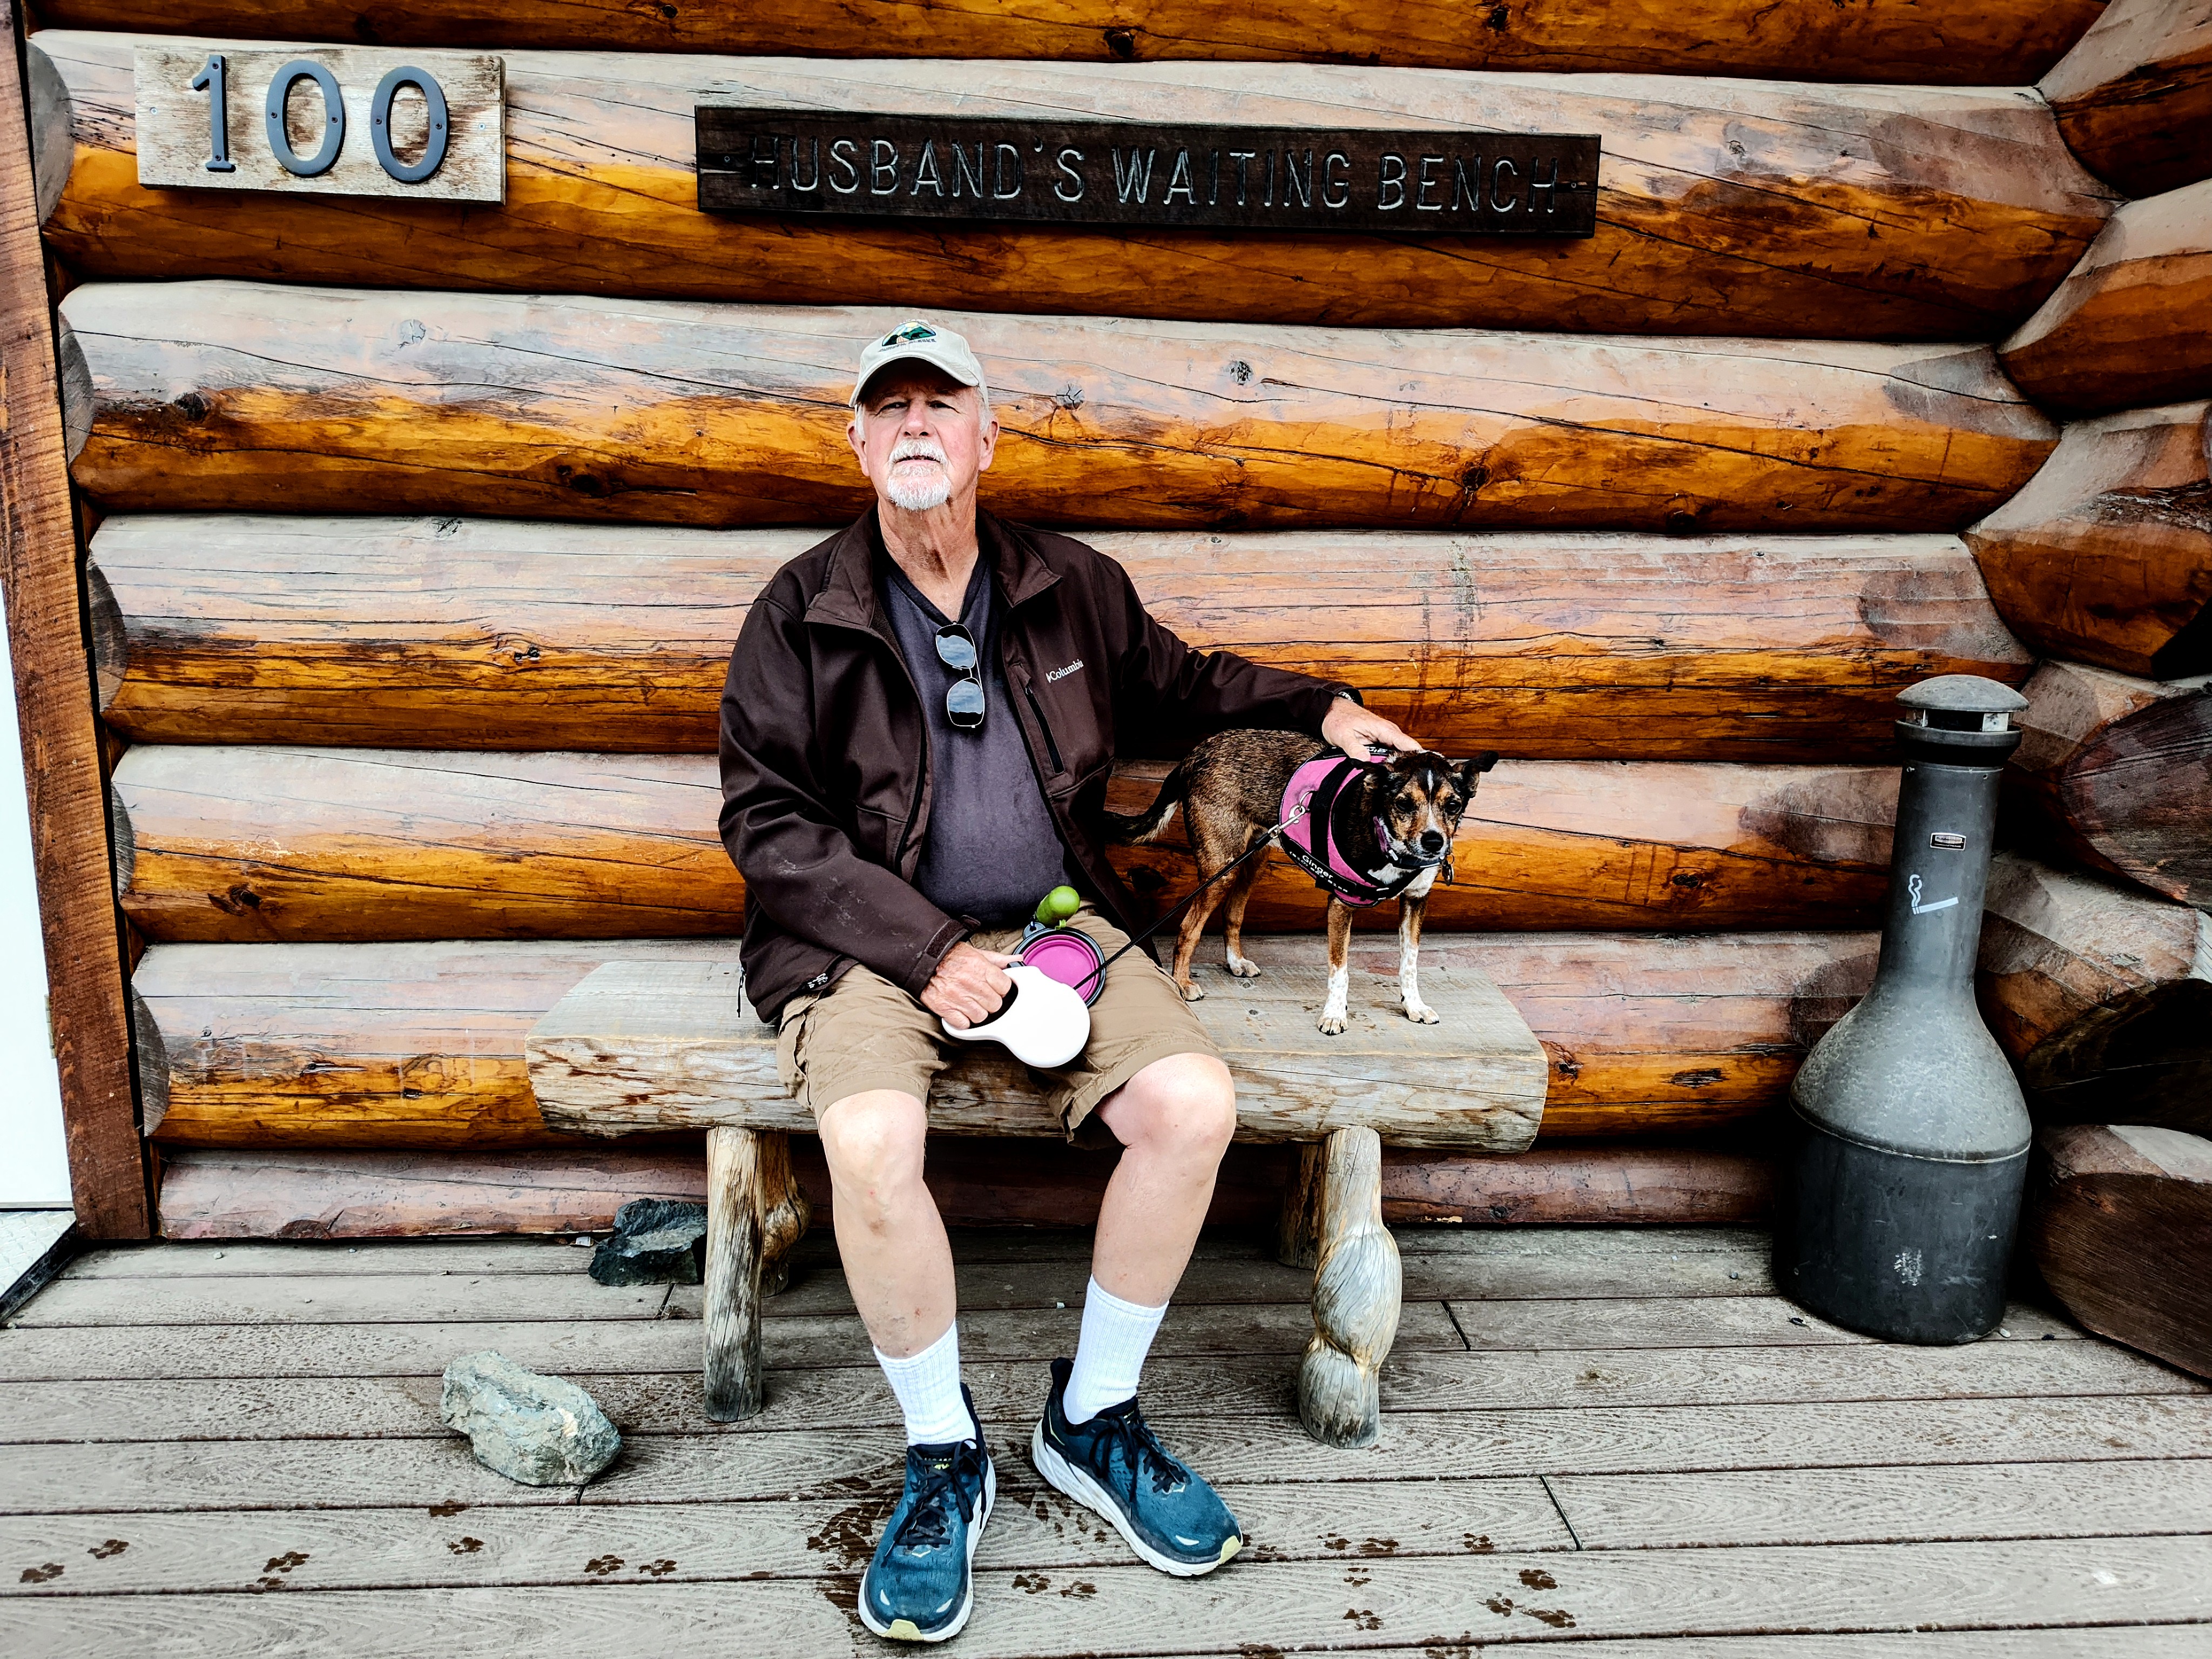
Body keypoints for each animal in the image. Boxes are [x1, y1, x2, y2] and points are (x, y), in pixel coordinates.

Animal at [1115, 734, 1495, 1035]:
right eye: (1403, 803)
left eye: (1453, 805)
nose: (1434, 842)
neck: (1390, 846)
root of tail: (1196, 752)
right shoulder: (1341, 903)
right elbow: (1340, 970)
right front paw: (1334, 1016)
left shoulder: (1415, 902)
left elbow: (1410, 963)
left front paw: (1413, 1005)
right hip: (1221, 868)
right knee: (1188, 928)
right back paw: (1181, 983)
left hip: (1251, 862)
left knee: (1233, 914)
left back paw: (1236, 962)